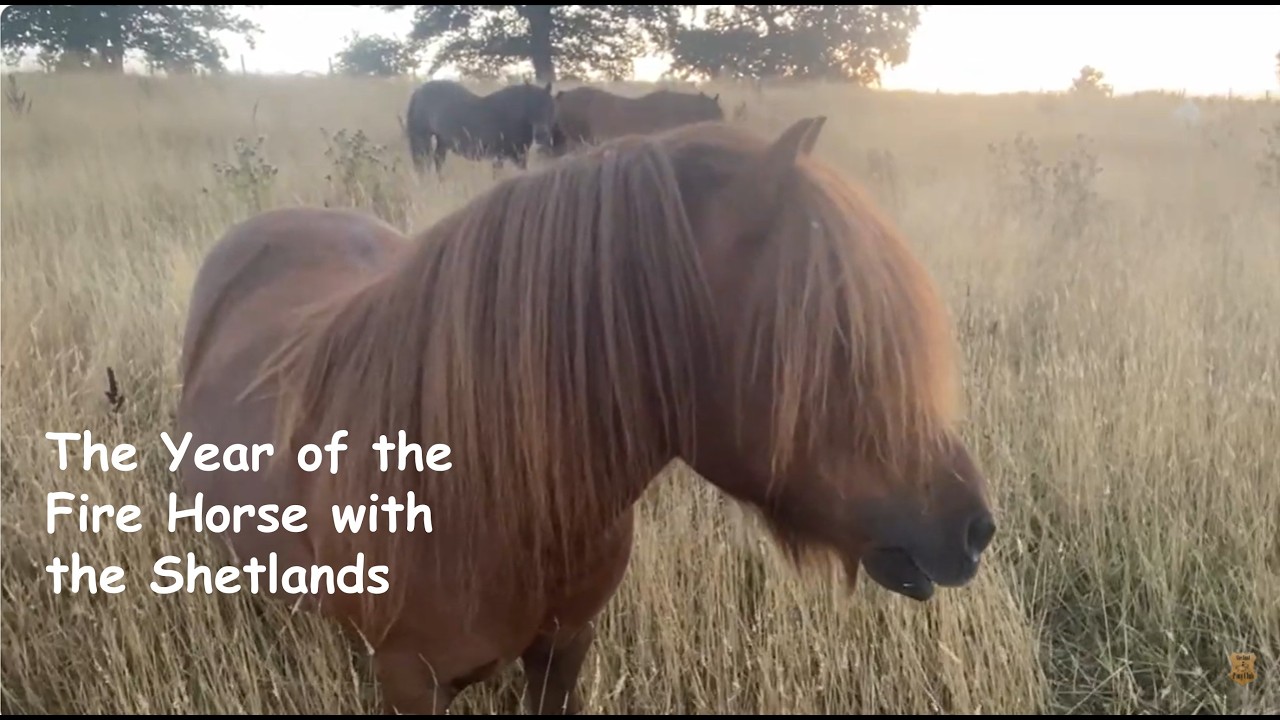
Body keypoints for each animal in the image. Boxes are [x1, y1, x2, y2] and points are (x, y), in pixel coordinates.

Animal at [405, 79, 556, 174]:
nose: (541, 135)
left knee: (437, 161)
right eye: (530, 105)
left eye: (548, 105)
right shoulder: (500, 156)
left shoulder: (519, 156)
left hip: (442, 142)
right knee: (423, 164)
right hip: (422, 140)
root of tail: (418, 91)